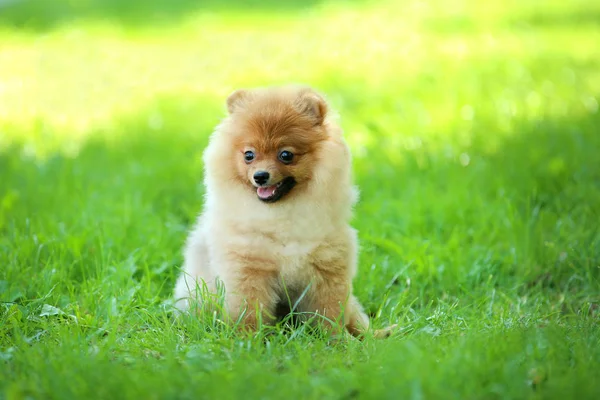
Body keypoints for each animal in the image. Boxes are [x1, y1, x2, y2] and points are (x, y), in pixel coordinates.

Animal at [173, 85, 394, 338]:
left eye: (285, 155)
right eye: (249, 155)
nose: (260, 176)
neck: (281, 214)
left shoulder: (327, 267)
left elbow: (329, 312)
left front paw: (337, 340)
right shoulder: (248, 268)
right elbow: (249, 311)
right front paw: (247, 339)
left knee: (357, 320)